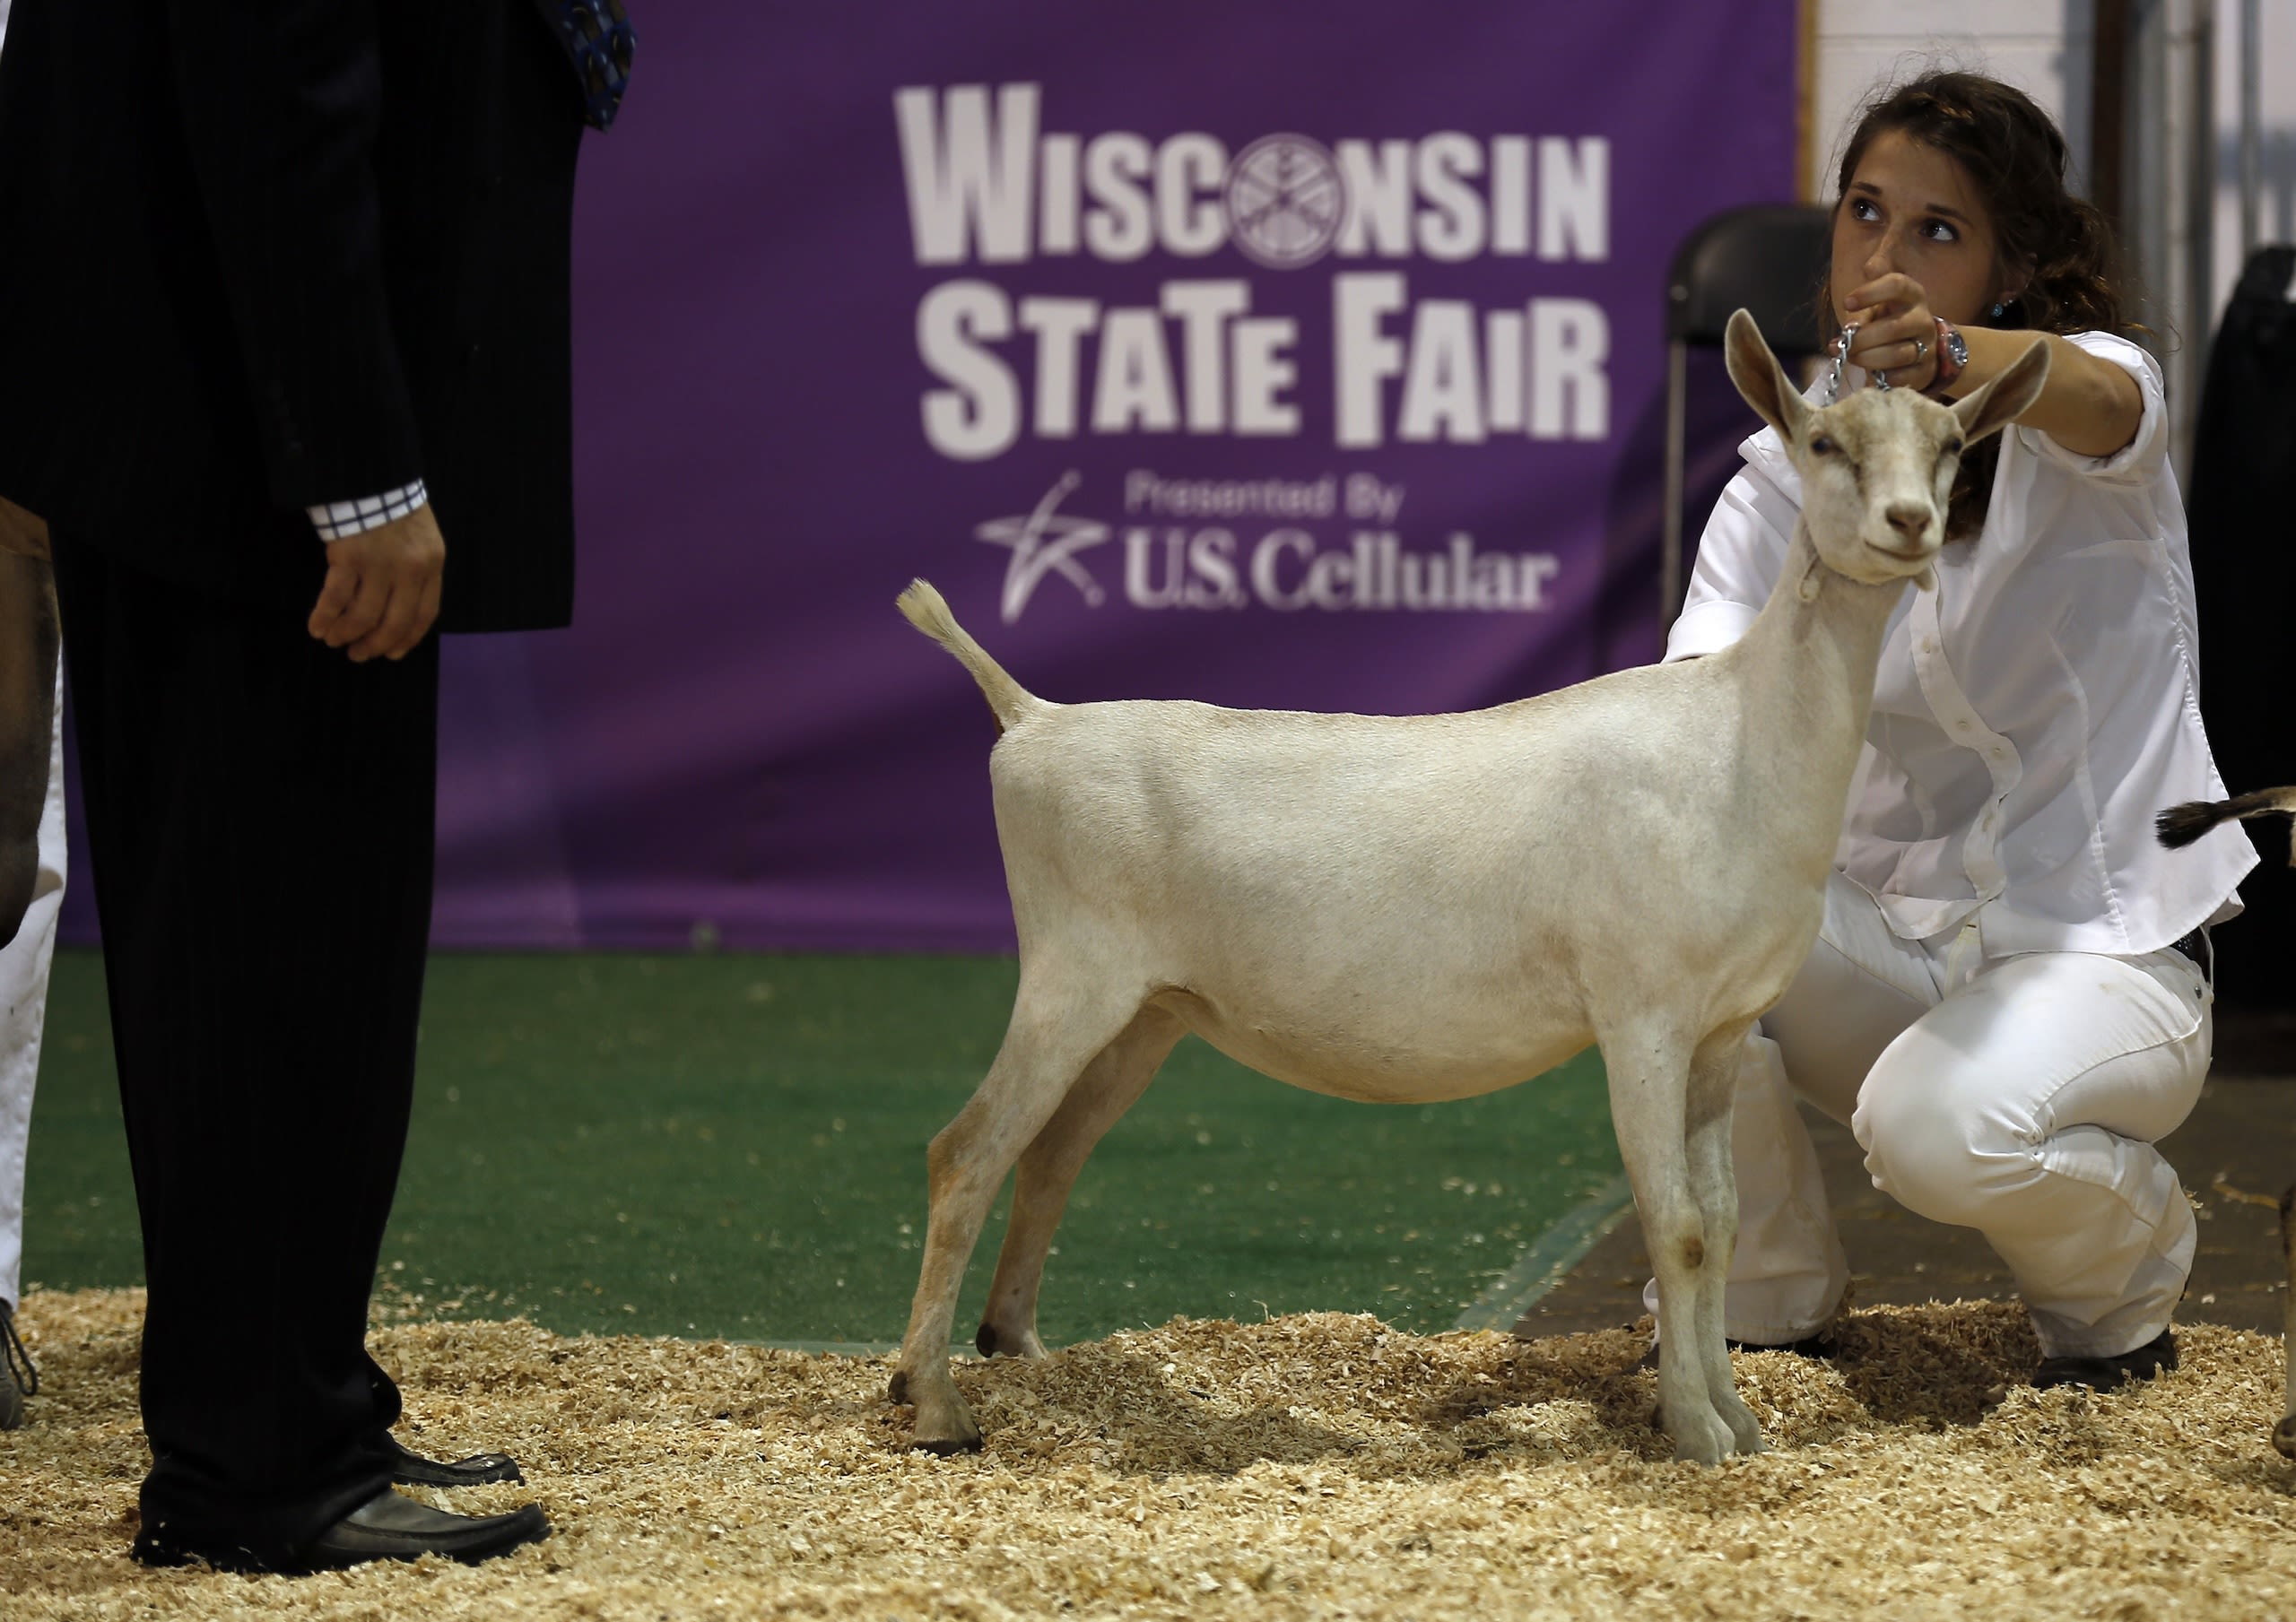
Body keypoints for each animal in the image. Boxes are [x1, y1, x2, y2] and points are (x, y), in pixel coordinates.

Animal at [887, 311, 2052, 1464]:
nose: (1909, 522)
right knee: (965, 1151)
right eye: (1823, 443)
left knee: (1049, 1154)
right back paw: (936, 1405)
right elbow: (1673, 1226)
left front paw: (1739, 1423)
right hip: (1071, 967)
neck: (1736, 740)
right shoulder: (1641, 1012)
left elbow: (1718, 1226)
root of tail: (1030, 718)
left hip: (1150, 1007)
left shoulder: (1723, 1027)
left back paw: (1015, 1352)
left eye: (1953, 445)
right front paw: (1693, 1434)